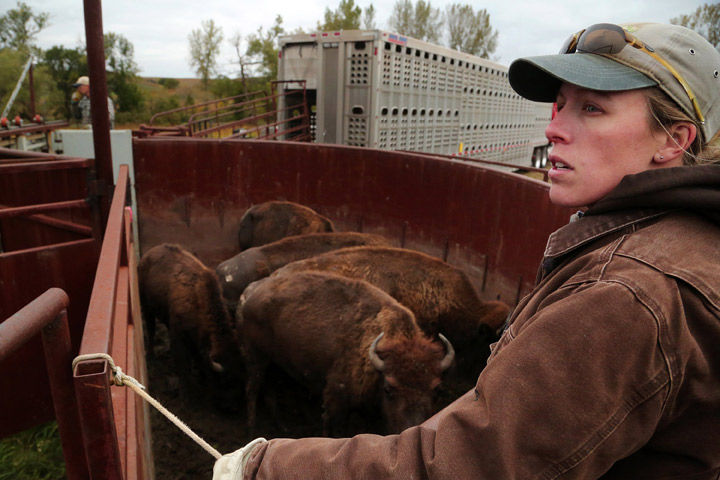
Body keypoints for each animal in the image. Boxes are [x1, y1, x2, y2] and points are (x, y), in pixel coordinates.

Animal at [136, 242, 236, 396]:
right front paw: (189, 391)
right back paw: (151, 356)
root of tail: (147, 255)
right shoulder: (179, 336)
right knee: (151, 329)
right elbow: (184, 366)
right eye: (224, 382)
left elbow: (197, 357)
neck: (200, 303)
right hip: (147, 308)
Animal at [242, 272, 456, 436]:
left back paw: (282, 427)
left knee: (270, 389)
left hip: (275, 364)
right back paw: (252, 430)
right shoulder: (336, 402)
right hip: (257, 359)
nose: (411, 428)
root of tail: (252, 290)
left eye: (437, 389)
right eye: (388, 388)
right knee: (253, 389)